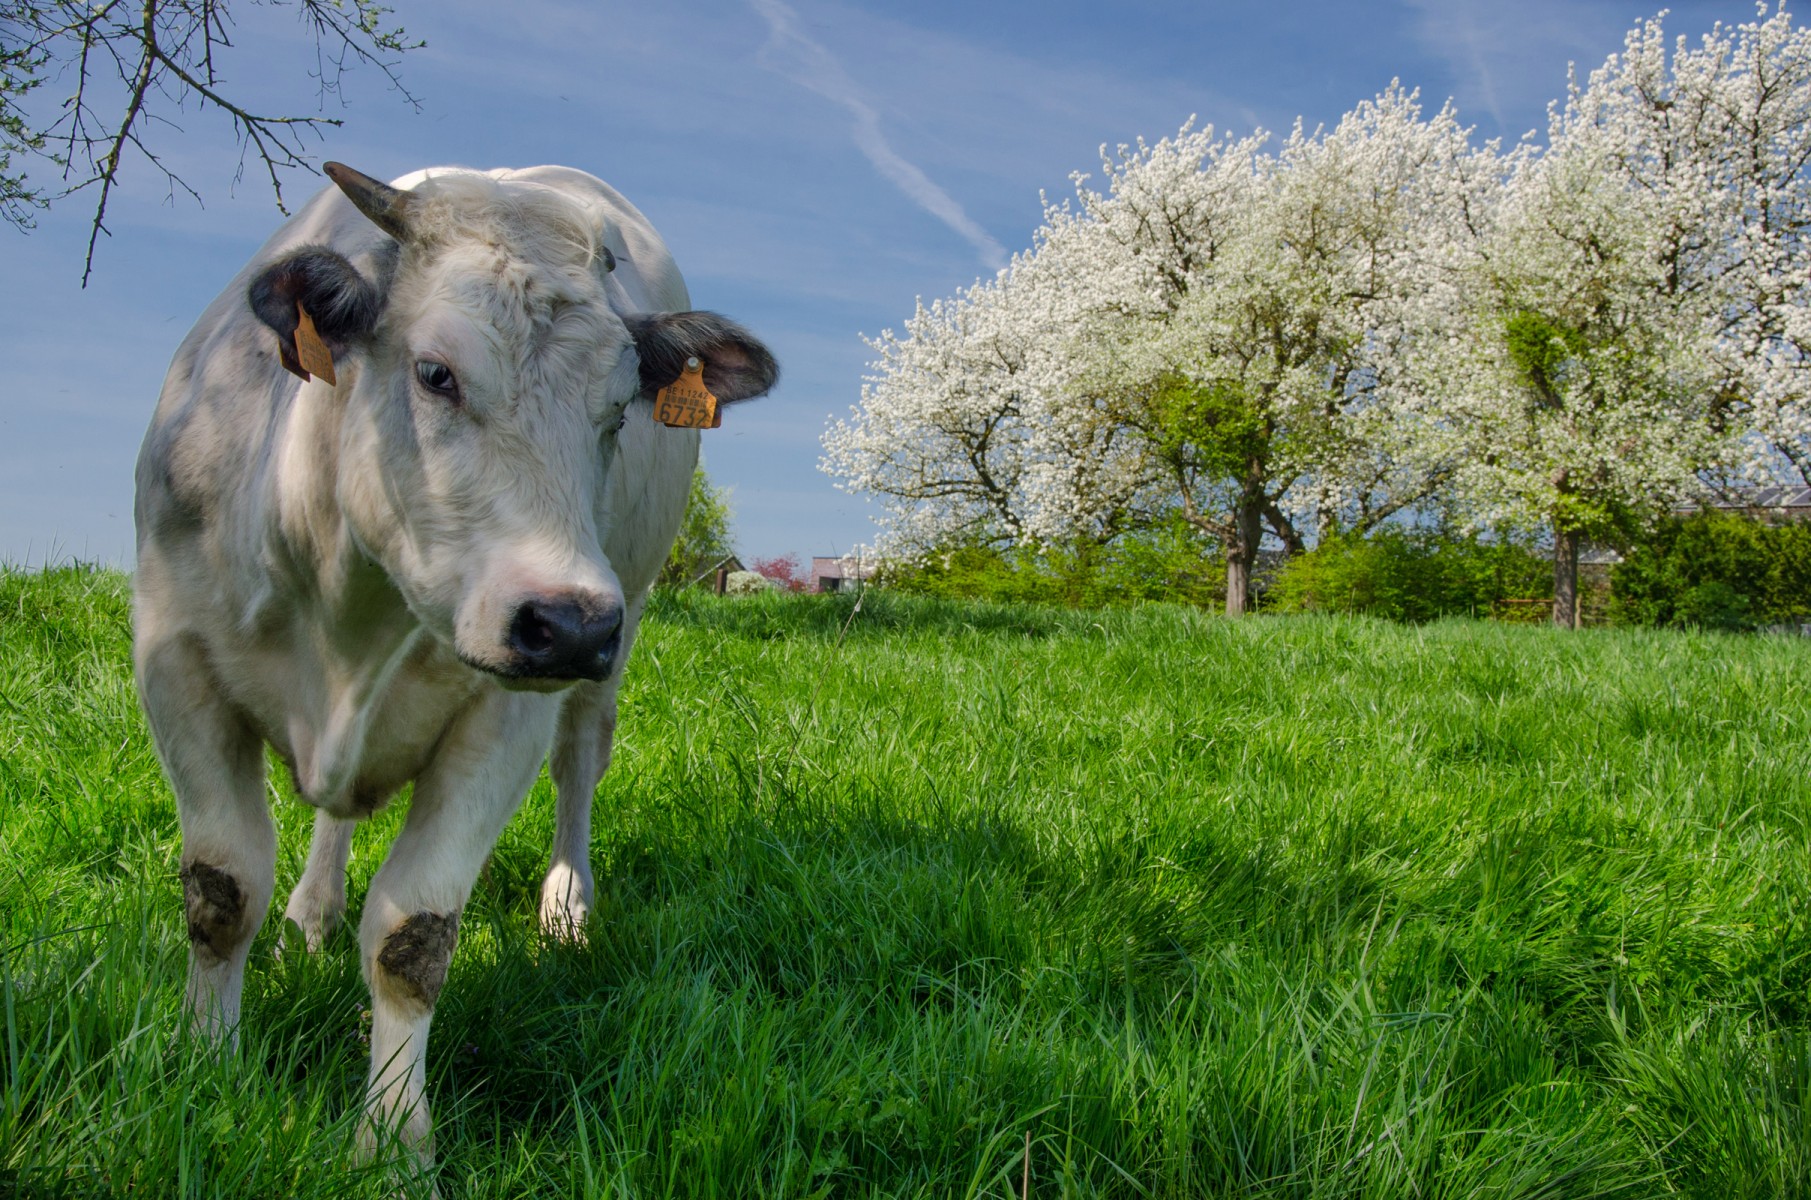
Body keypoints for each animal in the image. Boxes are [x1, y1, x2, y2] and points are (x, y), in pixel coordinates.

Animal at [131, 159, 775, 1165]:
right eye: (435, 374)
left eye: (617, 410)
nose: (569, 622)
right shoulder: (173, 658)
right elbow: (222, 891)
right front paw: (202, 1065)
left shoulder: (504, 717)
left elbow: (413, 937)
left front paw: (394, 1140)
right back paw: (311, 912)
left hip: (613, 642)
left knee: (579, 765)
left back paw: (565, 909)